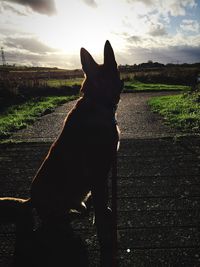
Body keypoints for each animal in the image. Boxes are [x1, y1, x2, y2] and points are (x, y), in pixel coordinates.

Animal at [0, 40, 123, 267]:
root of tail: (31, 200)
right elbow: (102, 211)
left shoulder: (104, 172)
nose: (122, 84)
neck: (97, 102)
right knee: (54, 218)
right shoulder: (98, 172)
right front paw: (106, 237)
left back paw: (81, 208)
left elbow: (104, 203)